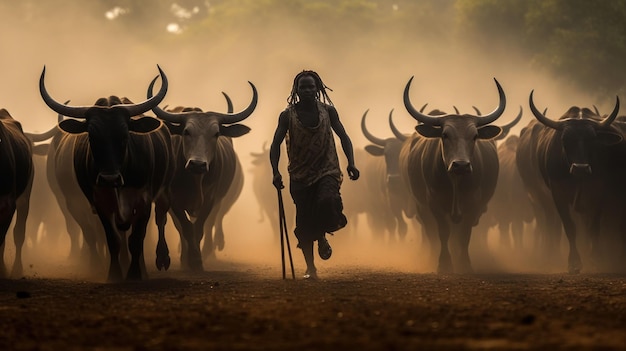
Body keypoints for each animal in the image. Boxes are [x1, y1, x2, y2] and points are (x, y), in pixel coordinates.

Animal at [400, 77, 502, 276]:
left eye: (474, 136)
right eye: (445, 135)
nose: (461, 165)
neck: (456, 181)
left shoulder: (474, 204)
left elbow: (464, 235)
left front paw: (464, 264)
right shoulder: (434, 202)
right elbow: (442, 232)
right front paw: (444, 264)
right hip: (421, 207)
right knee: (431, 233)